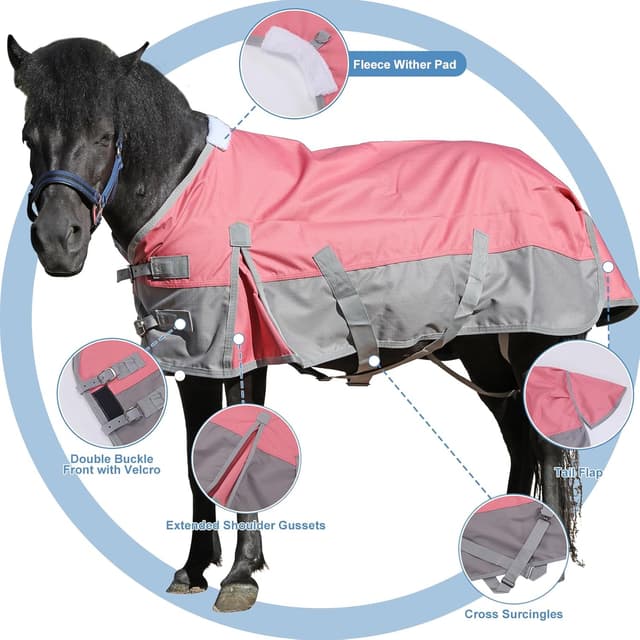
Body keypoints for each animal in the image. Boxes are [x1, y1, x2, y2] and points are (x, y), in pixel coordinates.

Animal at [9, 34, 614, 612]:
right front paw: (194, 569)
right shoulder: (192, 359)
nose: (57, 242)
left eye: (105, 134)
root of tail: (557, 187)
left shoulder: (240, 354)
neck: (184, 191)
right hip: (486, 354)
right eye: (27, 135)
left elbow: (239, 450)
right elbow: (195, 459)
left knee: (547, 454)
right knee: (519, 442)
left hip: (535, 348)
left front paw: (241, 575)